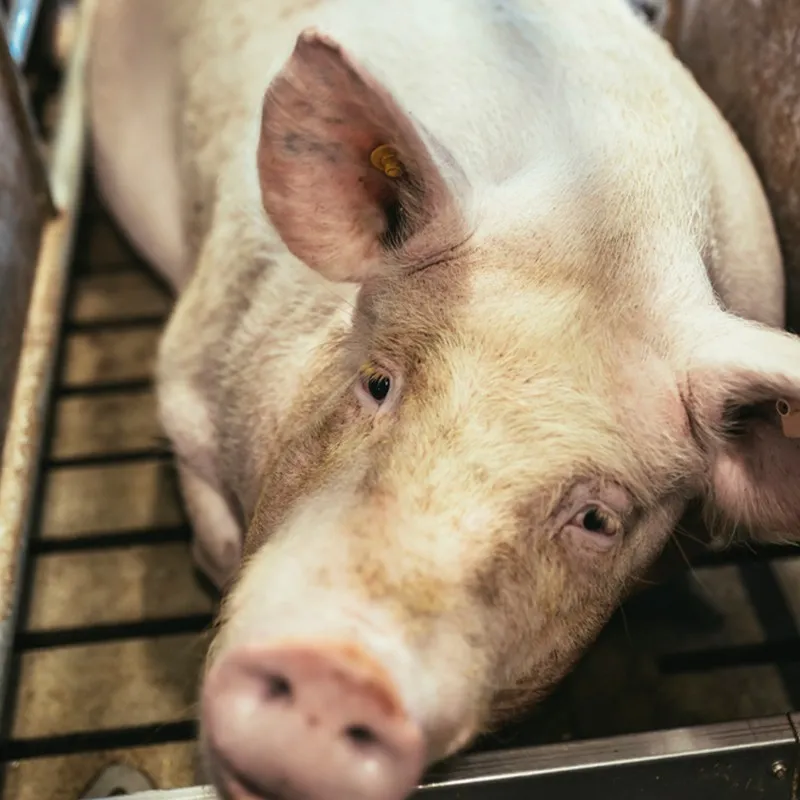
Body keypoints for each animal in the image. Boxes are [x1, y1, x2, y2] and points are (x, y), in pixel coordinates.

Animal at [87, 1, 800, 799]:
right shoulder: (189, 372)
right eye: (377, 382)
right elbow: (212, 535)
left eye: (598, 518)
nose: (339, 679)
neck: (605, 218)